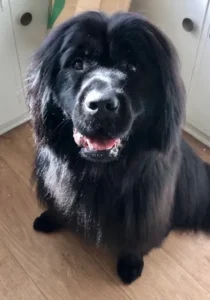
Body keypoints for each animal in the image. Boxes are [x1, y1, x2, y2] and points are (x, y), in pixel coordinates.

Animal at [26, 11, 210, 284]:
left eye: (131, 67)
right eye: (78, 63)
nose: (101, 104)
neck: (99, 171)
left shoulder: (146, 208)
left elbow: (138, 237)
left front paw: (131, 263)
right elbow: (60, 202)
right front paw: (51, 217)